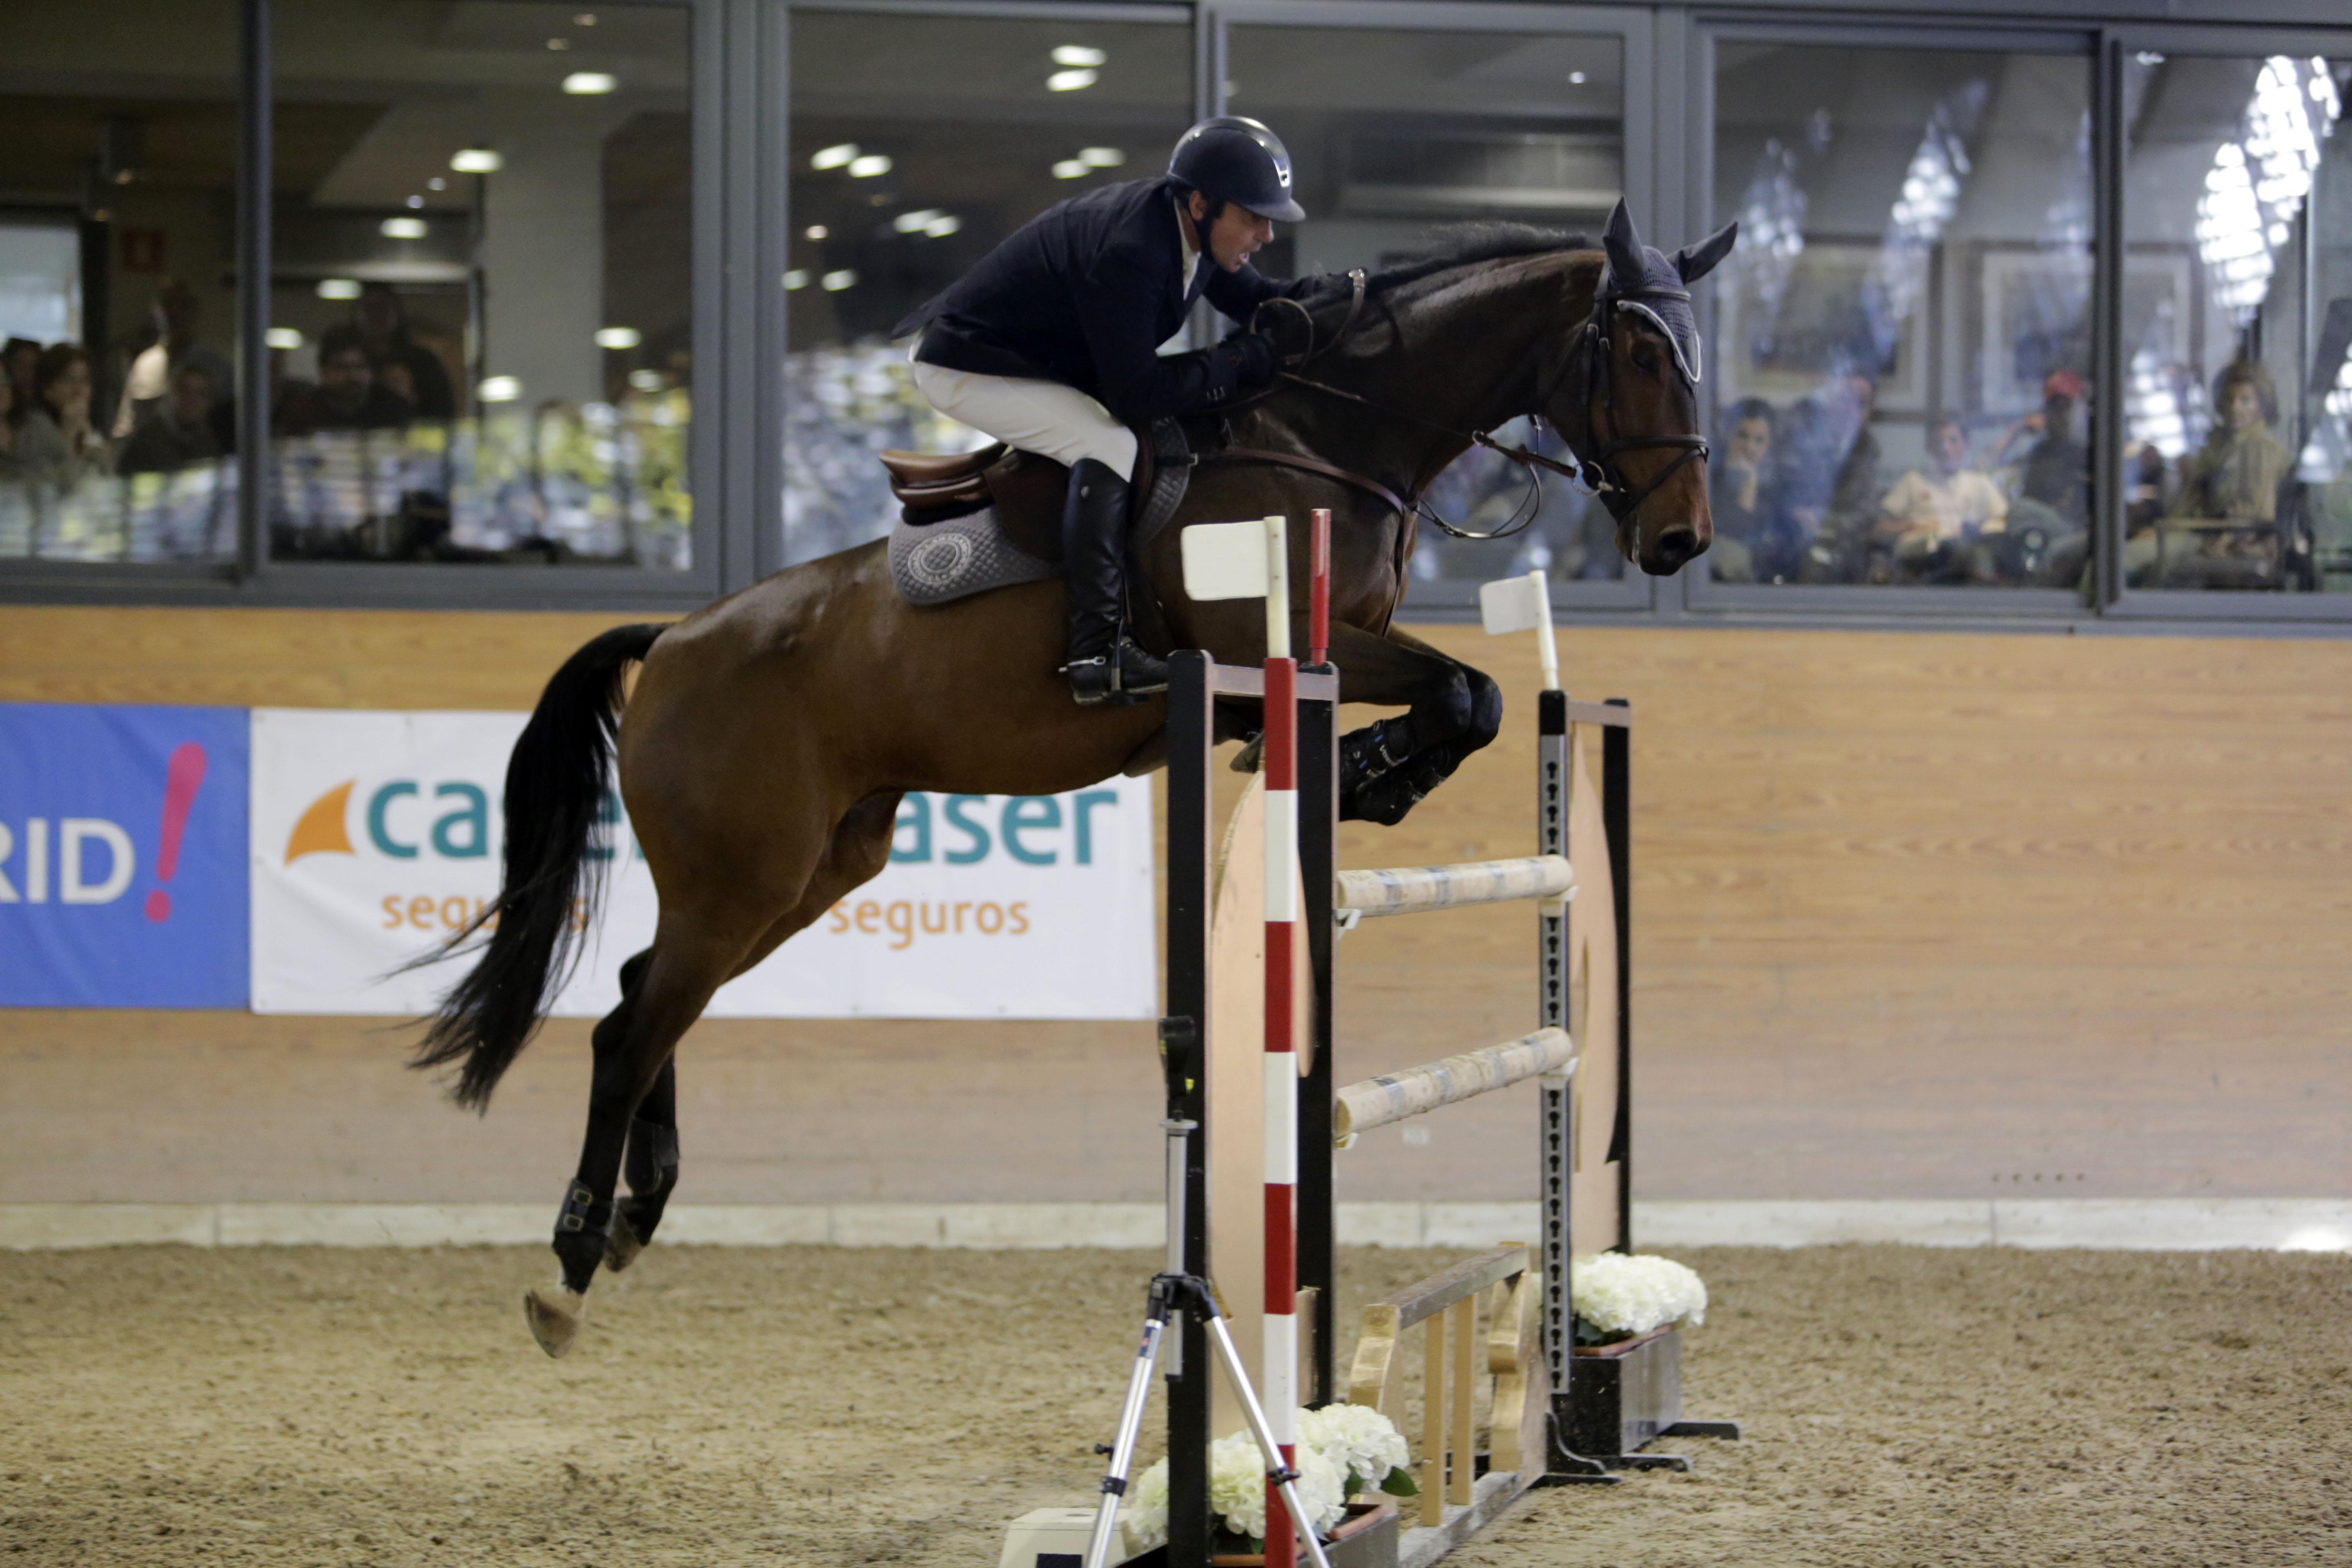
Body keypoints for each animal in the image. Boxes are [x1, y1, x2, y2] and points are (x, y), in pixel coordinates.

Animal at [419, 200, 1731, 1354]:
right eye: (1639, 353)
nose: (1681, 541)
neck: (1332, 438)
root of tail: (677, 639)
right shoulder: (1293, 648)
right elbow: (1466, 692)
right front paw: (1368, 770)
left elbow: (1473, 697)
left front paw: (1371, 774)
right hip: (747, 873)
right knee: (629, 1031)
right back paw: (570, 1267)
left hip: (811, 870)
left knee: (643, 997)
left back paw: (637, 1213)